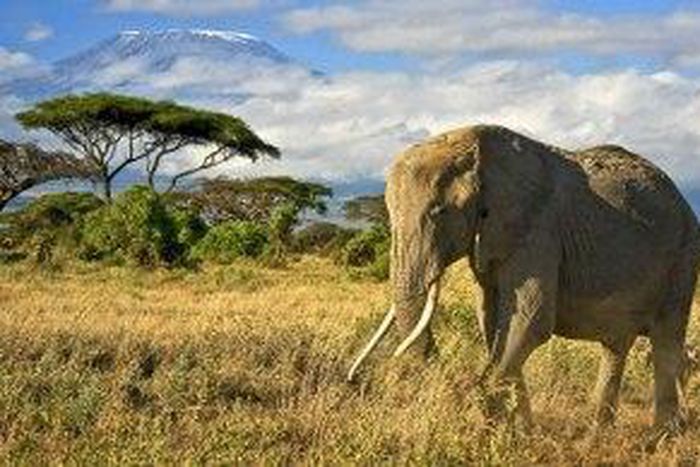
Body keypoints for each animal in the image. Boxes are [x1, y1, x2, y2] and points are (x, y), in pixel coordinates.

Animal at [348, 124, 700, 430]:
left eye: (438, 212)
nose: (354, 380)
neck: (472, 145)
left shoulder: (538, 229)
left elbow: (529, 322)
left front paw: (492, 423)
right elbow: (492, 321)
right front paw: (519, 430)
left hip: (684, 257)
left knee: (666, 341)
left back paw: (659, 437)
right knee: (617, 344)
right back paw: (598, 433)